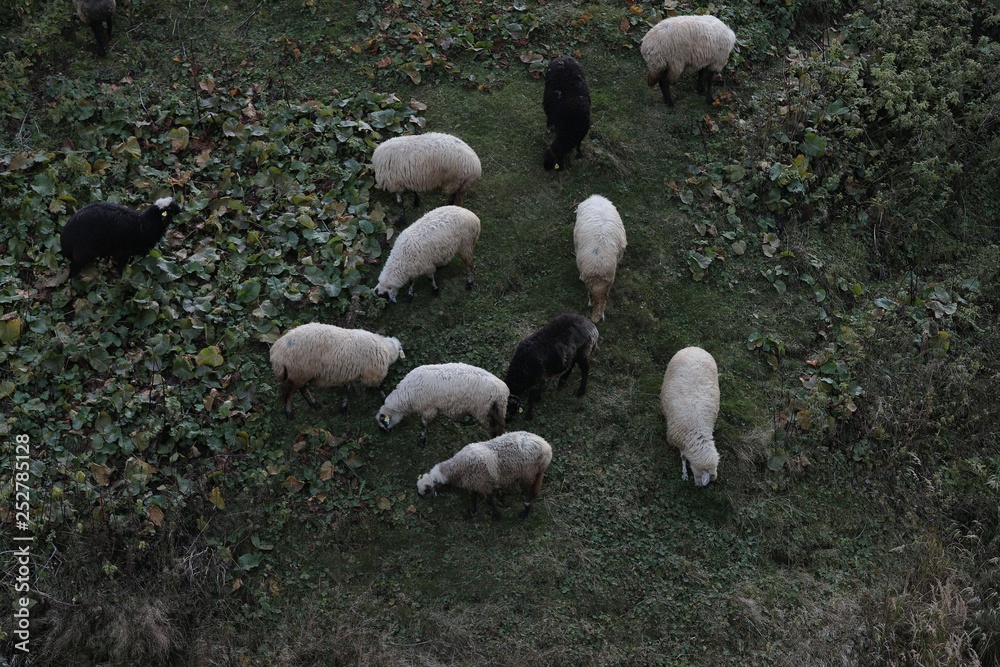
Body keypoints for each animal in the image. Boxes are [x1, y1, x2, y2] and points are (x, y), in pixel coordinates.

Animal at [272, 322, 404, 420]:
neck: (386, 349)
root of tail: (276, 354)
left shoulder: (352, 373)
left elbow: (347, 389)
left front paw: (344, 407)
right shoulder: (372, 374)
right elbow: (378, 386)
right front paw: (382, 398)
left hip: (300, 374)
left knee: (301, 389)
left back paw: (314, 404)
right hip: (298, 373)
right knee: (288, 393)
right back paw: (289, 412)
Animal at [376, 362, 508, 452]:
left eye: (383, 422)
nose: (382, 432)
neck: (406, 397)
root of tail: (502, 391)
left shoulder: (428, 408)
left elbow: (424, 423)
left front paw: (421, 441)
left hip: (484, 412)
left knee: (493, 430)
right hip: (499, 411)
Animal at [416, 434, 556, 520]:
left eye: (427, 489)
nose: (419, 497)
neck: (457, 468)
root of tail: (547, 448)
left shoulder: (483, 484)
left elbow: (489, 500)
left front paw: (496, 516)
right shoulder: (474, 482)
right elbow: (473, 495)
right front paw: (473, 511)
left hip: (529, 472)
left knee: (530, 490)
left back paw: (525, 512)